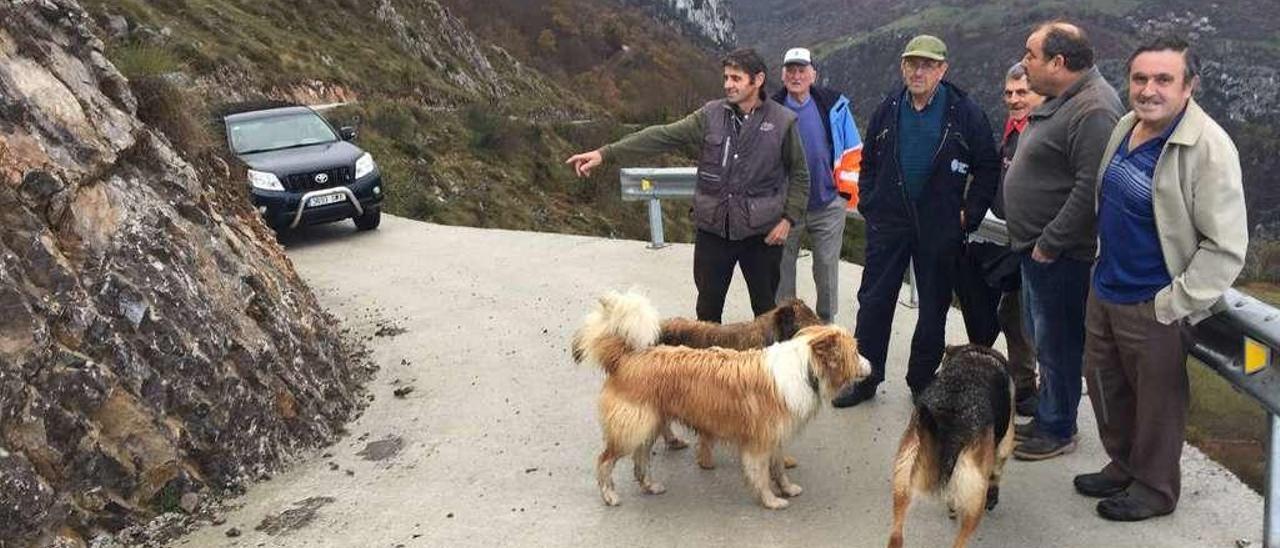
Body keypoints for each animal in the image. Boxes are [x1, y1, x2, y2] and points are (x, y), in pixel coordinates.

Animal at [885, 345, 1013, 548]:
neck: (977, 355)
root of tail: (950, 421)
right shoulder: (1005, 444)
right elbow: (997, 471)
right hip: (974, 502)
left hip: (903, 479)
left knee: (896, 536)